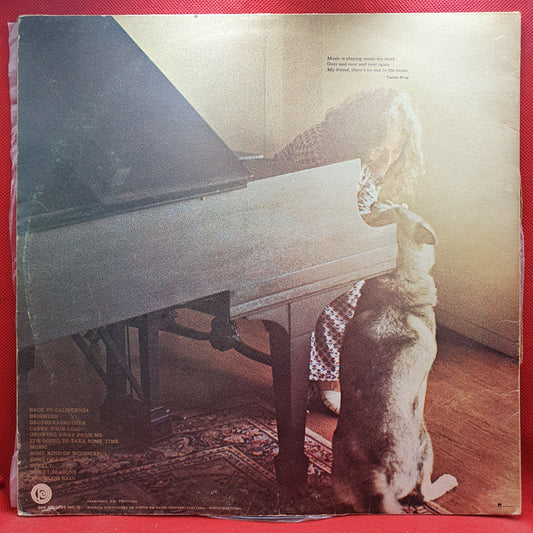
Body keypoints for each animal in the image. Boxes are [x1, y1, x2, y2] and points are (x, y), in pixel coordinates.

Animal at [331, 203, 457, 514]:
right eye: (399, 207)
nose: (375, 202)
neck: (399, 273)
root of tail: (374, 474)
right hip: (426, 443)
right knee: (423, 492)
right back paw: (446, 482)